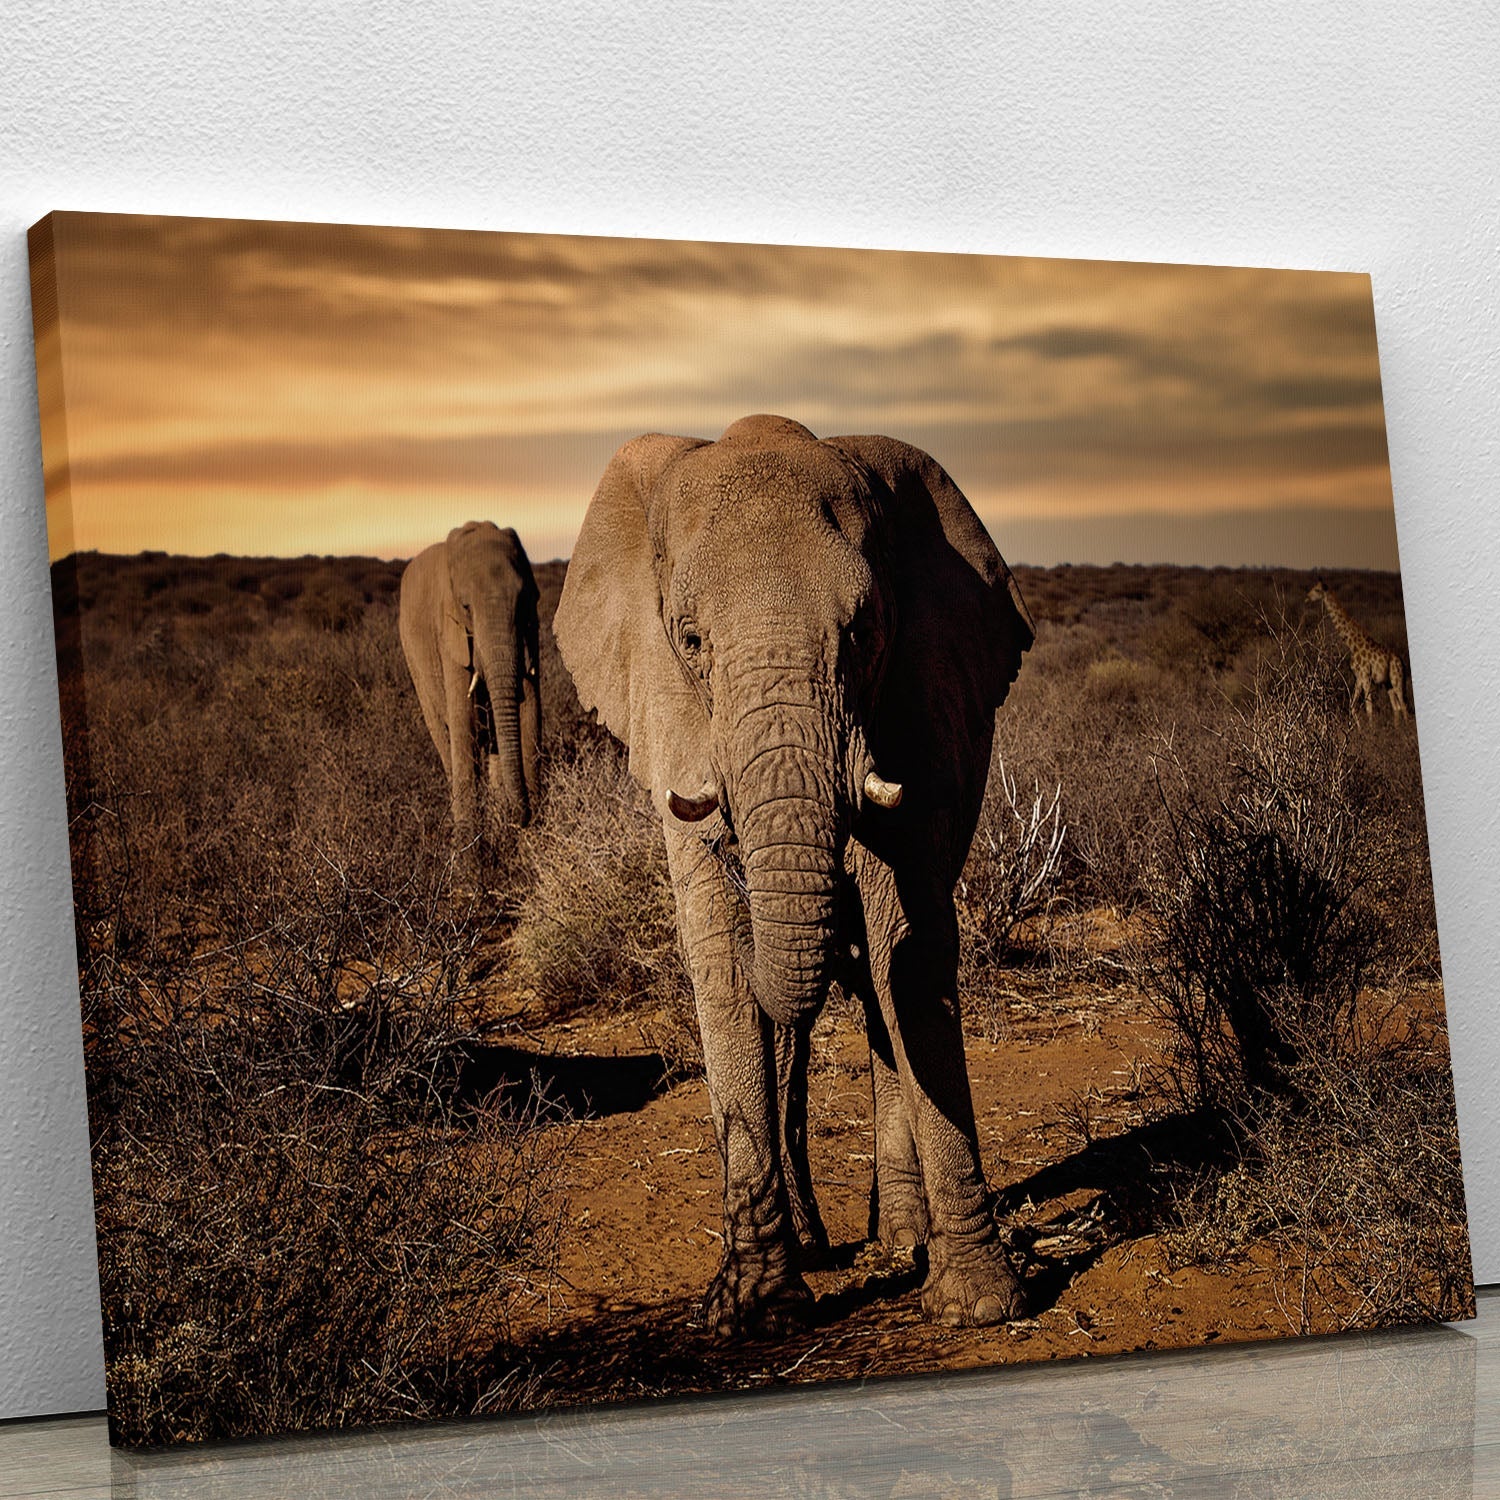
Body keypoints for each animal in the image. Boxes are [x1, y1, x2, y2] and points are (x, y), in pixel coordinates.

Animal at [399, 521, 541, 861]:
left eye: (524, 600)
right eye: (465, 607)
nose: (519, 816)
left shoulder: (531, 627)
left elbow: (530, 712)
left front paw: (533, 843)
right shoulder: (448, 635)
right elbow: (464, 724)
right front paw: (468, 857)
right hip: (414, 662)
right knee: (446, 734)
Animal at [553, 414, 1034, 1336]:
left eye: (865, 631)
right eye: (690, 640)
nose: (740, 856)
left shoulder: (916, 702)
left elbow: (906, 949)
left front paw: (979, 1307)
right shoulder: (675, 721)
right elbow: (718, 957)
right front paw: (755, 1310)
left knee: (882, 1001)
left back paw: (901, 1245)